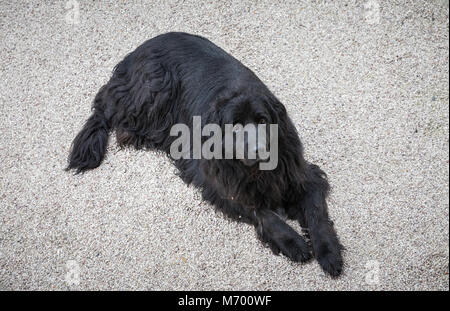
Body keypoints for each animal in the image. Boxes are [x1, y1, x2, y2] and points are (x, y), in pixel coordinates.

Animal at [66, 32, 344, 278]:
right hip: (154, 89)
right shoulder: (218, 180)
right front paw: (293, 242)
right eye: (235, 126)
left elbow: (316, 213)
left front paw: (329, 253)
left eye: (263, 120)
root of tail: (137, 50)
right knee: (104, 106)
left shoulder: (299, 172)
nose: (259, 150)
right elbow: (260, 210)